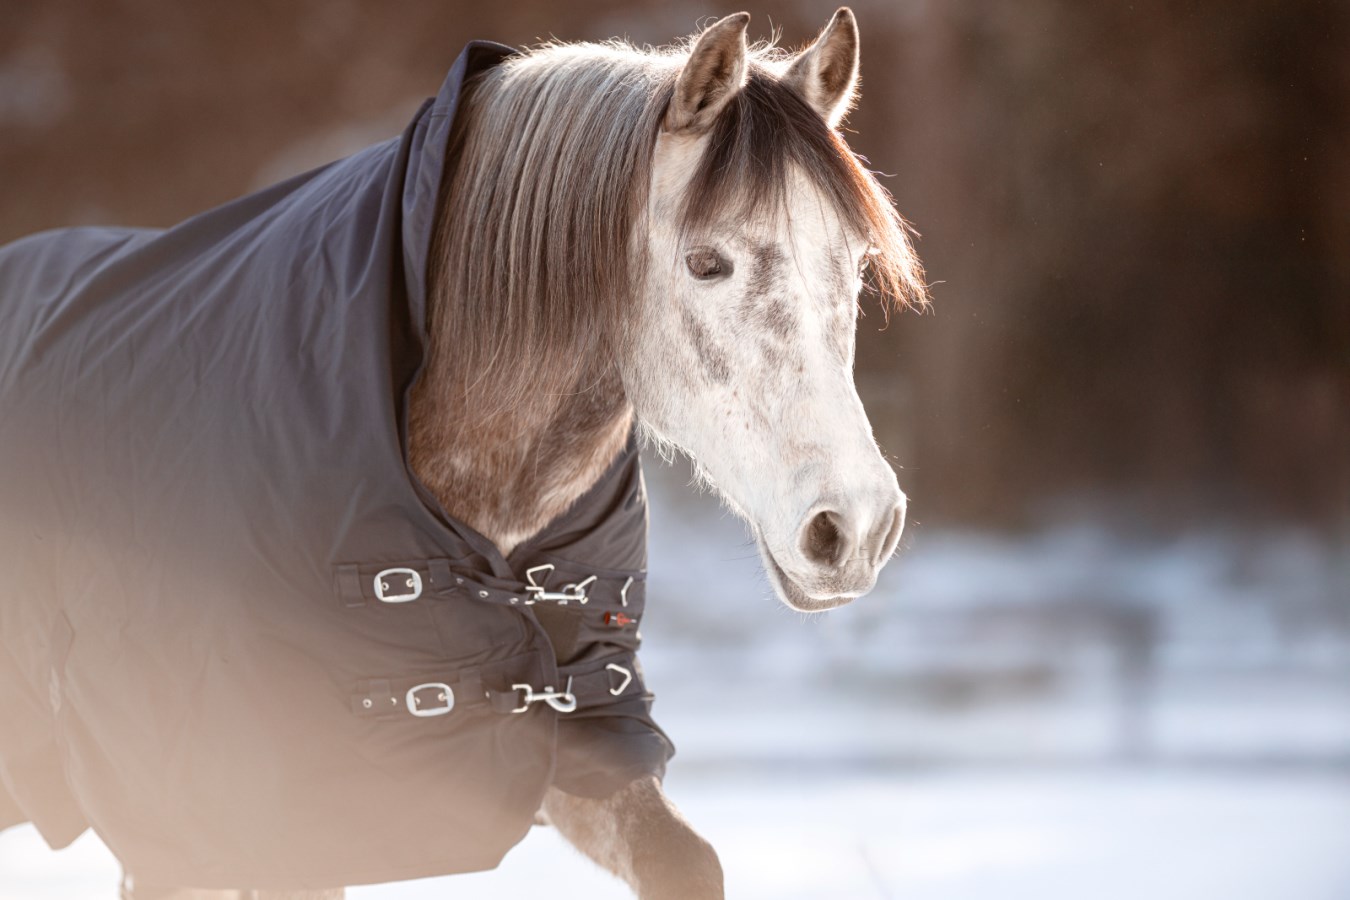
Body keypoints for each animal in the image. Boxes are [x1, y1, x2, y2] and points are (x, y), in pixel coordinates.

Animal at [0, 8, 926, 899]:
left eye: (856, 265)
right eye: (706, 262)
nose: (855, 523)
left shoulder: (581, 734)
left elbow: (686, 862)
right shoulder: (227, 813)